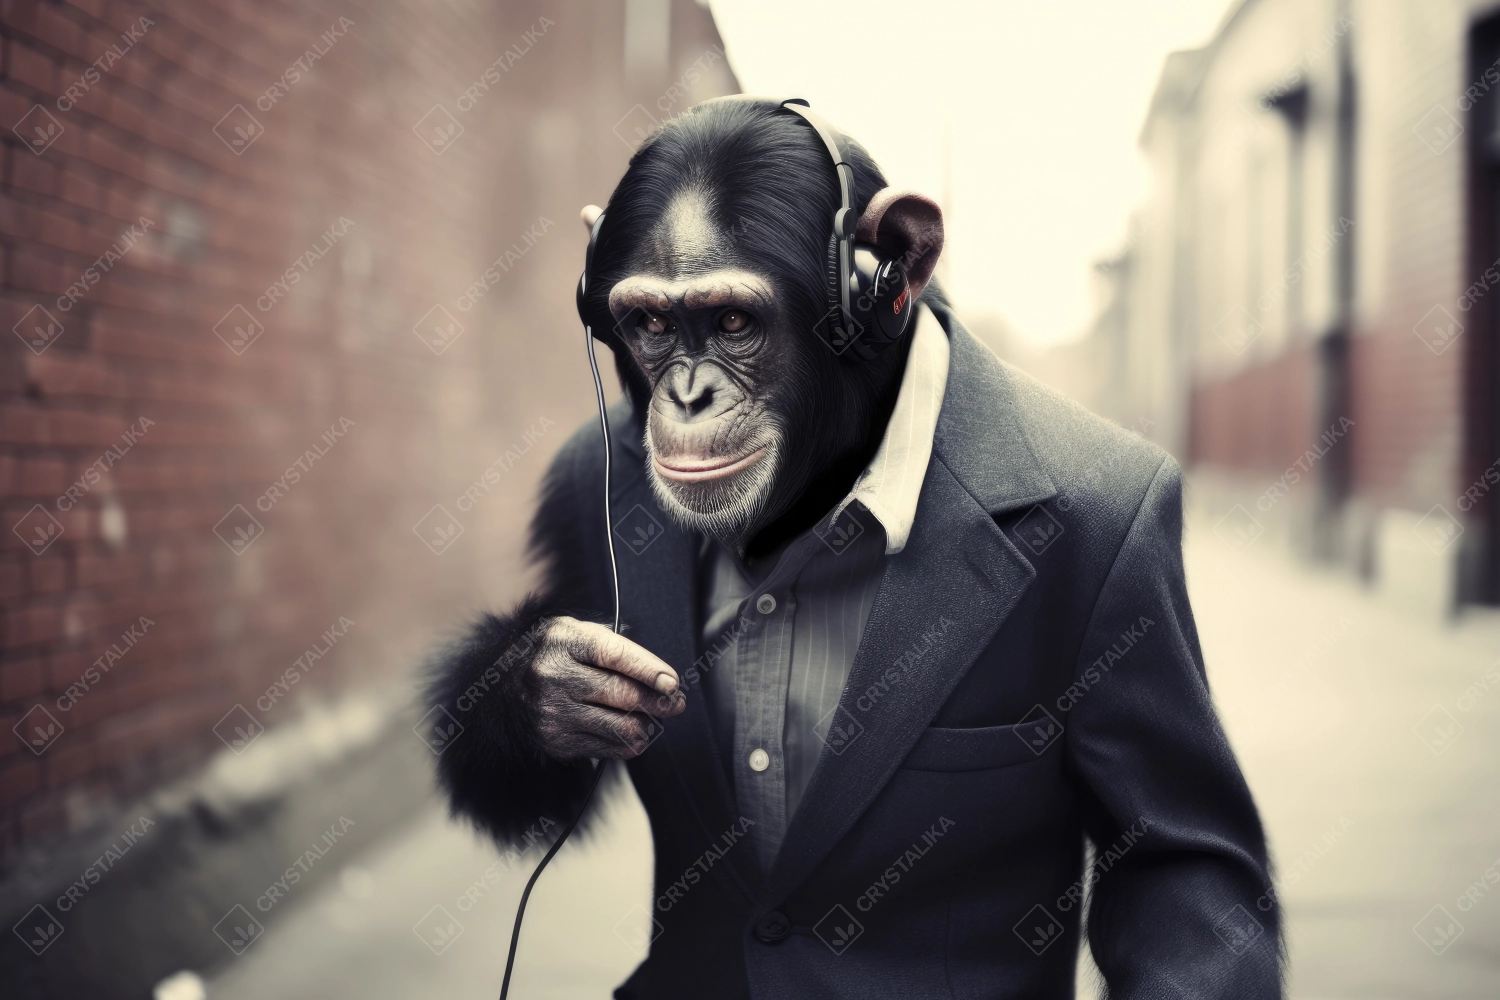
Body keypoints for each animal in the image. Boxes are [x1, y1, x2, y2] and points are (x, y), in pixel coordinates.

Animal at [423, 99, 1278, 1000]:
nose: (688, 396)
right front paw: (551, 684)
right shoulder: (580, 489)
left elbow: (1177, 857)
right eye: (650, 323)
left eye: (733, 321)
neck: (816, 495)